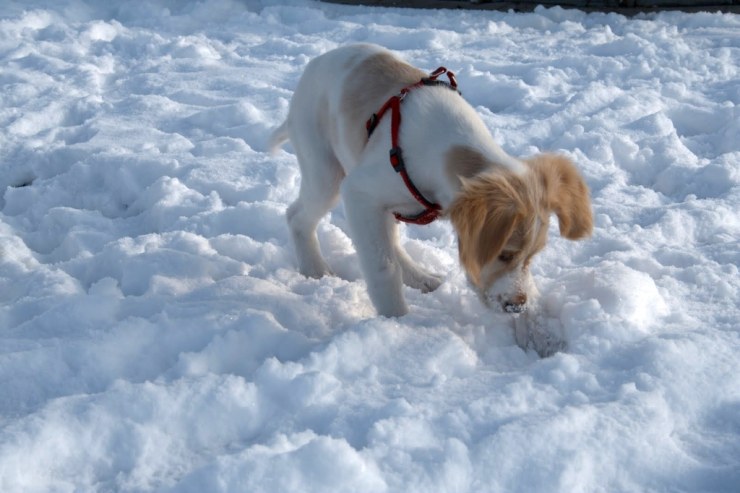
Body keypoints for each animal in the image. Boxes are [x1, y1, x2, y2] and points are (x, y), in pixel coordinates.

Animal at [268, 44, 592, 318]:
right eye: (504, 254)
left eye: (530, 257)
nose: (518, 307)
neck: (448, 150)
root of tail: (315, 64)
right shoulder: (360, 193)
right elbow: (382, 266)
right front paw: (396, 319)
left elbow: (386, 251)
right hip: (326, 175)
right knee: (297, 216)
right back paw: (314, 269)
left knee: (390, 240)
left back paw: (420, 277)